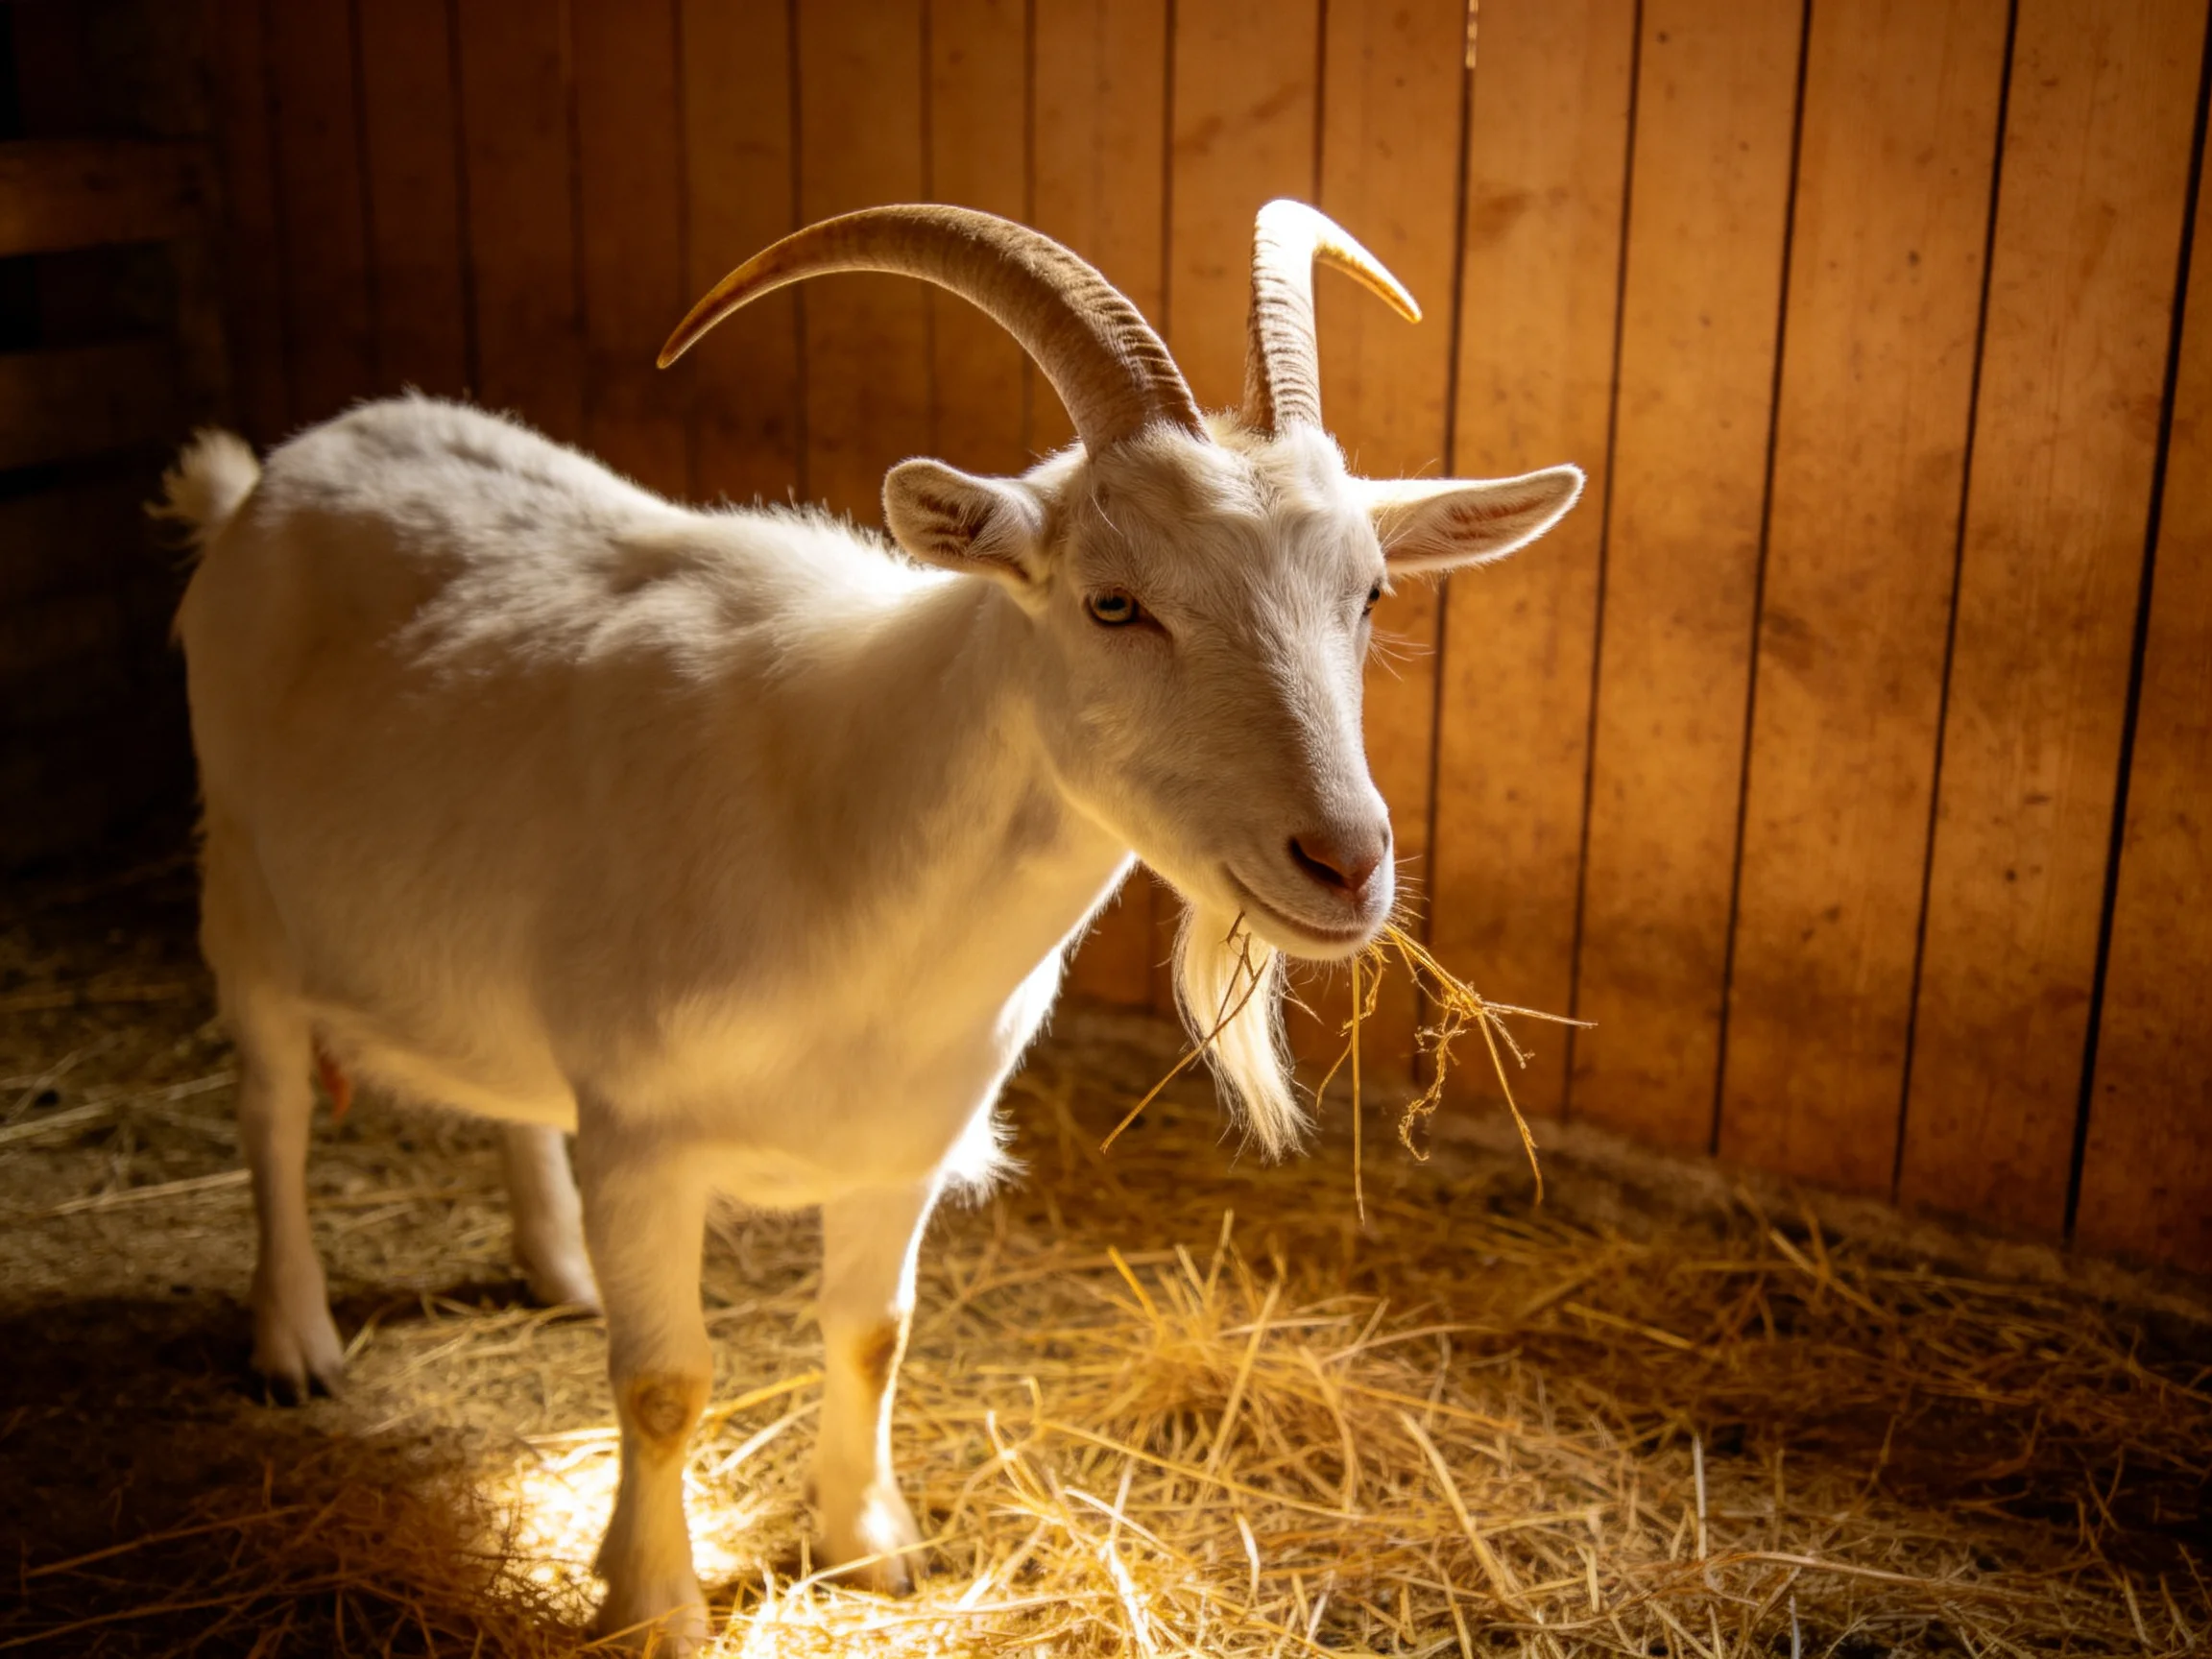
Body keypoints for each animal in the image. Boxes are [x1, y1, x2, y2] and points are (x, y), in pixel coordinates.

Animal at [164, 201, 1581, 1649]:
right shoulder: (645, 1139)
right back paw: (295, 1344)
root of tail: (271, 476)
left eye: (1371, 596)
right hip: (244, 892)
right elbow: (665, 1384)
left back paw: (558, 1268)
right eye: (1113, 601)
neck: (844, 841)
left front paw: (868, 1548)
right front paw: (655, 1602)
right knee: (272, 1106)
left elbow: (872, 1339)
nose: (1344, 864)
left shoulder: (902, 1147)